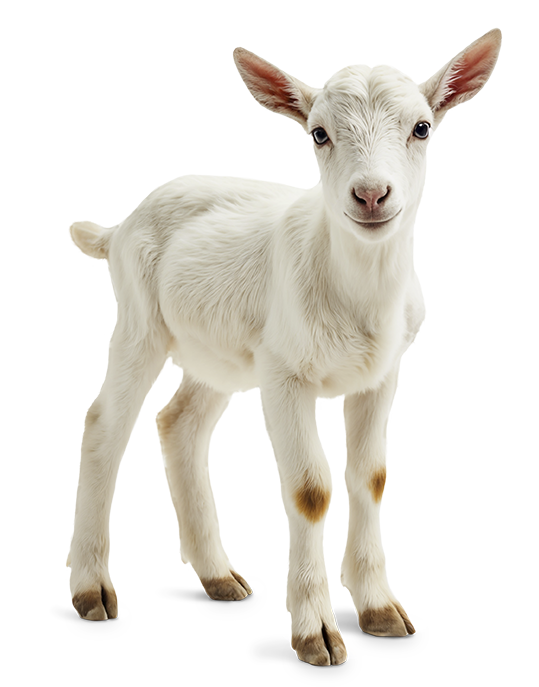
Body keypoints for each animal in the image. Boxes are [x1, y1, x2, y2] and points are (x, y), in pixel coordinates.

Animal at [67, 29, 502, 666]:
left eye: (422, 127)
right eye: (319, 133)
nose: (371, 194)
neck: (356, 298)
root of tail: (119, 225)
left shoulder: (382, 374)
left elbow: (371, 477)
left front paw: (380, 611)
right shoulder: (284, 373)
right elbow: (311, 490)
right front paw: (316, 632)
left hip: (220, 351)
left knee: (180, 422)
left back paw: (217, 575)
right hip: (141, 319)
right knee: (105, 425)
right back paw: (91, 588)